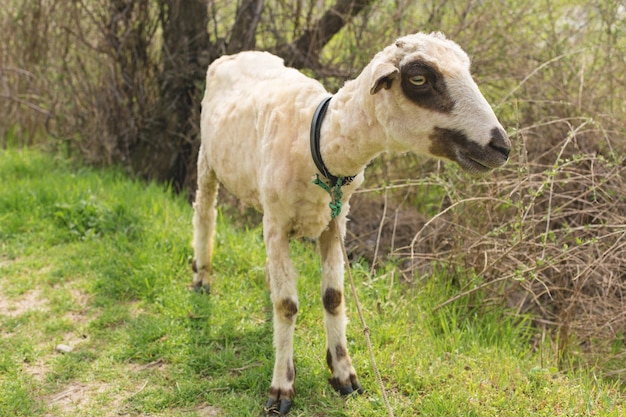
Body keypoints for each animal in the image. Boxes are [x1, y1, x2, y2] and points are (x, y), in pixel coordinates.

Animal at [193, 31, 510, 412]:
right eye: (419, 79)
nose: (502, 146)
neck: (319, 143)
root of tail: (240, 54)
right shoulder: (279, 221)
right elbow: (287, 305)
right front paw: (282, 387)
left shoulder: (335, 222)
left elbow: (333, 297)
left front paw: (343, 374)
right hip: (207, 161)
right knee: (205, 213)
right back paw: (201, 278)